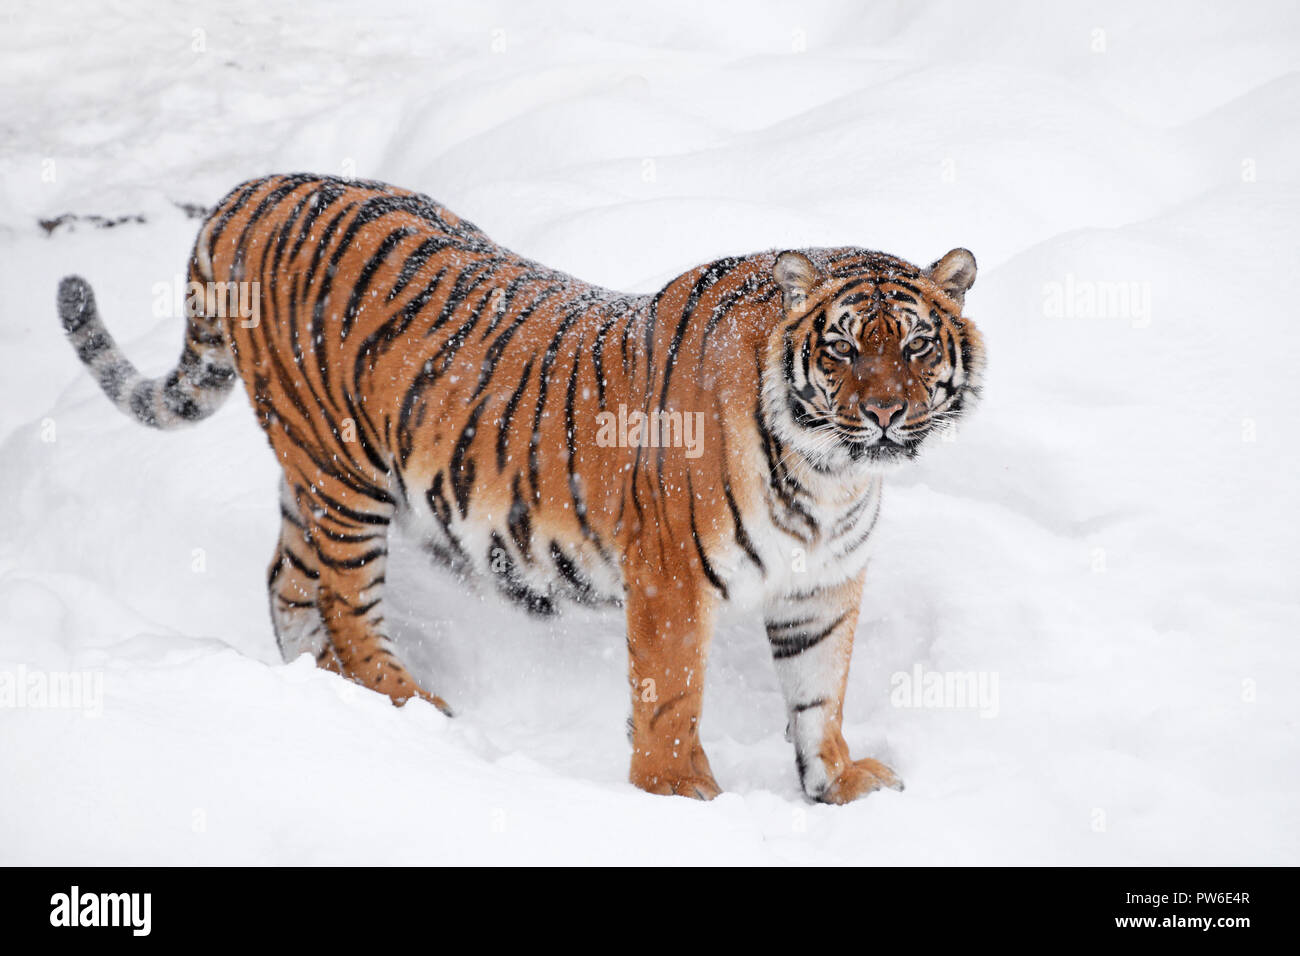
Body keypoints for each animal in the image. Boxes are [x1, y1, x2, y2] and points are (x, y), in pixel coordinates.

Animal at [55, 170, 977, 801]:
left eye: (917, 346)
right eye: (844, 349)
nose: (886, 412)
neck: (833, 476)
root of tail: (257, 189)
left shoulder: (822, 587)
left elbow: (820, 694)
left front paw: (838, 784)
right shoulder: (672, 579)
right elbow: (673, 694)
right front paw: (680, 794)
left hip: (308, 472)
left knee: (289, 579)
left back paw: (315, 688)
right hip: (345, 477)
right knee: (348, 605)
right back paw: (409, 706)